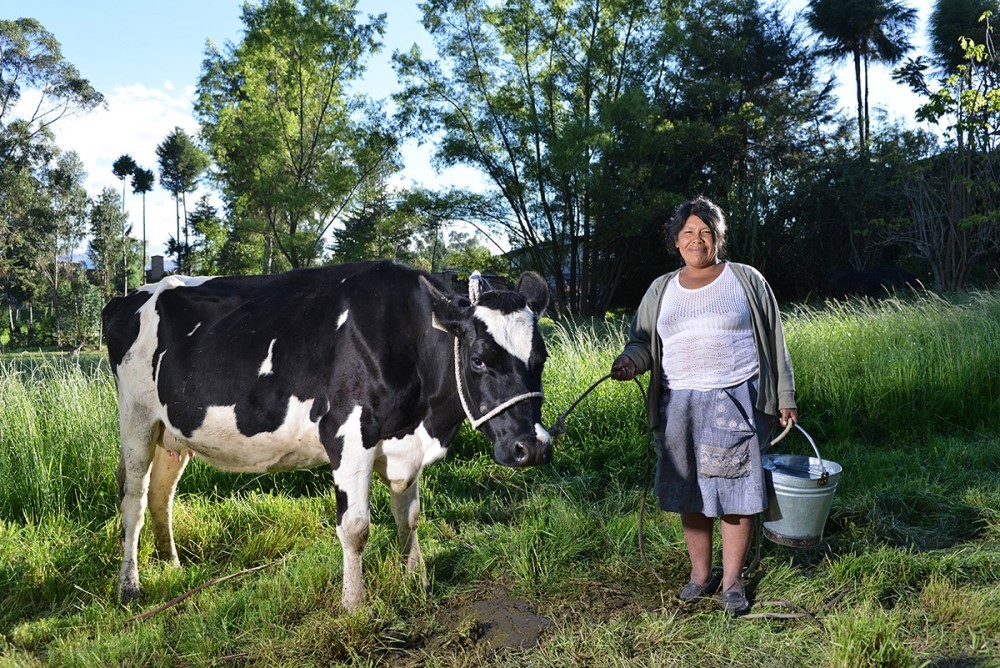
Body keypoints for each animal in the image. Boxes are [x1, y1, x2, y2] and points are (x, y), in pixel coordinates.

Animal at [103, 260, 548, 612]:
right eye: (478, 360)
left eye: (541, 357)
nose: (531, 447)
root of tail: (126, 297)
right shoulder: (347, 434)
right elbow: (355, 528)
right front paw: (354, 604)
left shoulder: (404, 444)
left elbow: (409, 516)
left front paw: (415, 579)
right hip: (137, 420)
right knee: (134, 501)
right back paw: (130, 586)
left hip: (173, 434)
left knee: (161, 494)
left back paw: (172, 564)